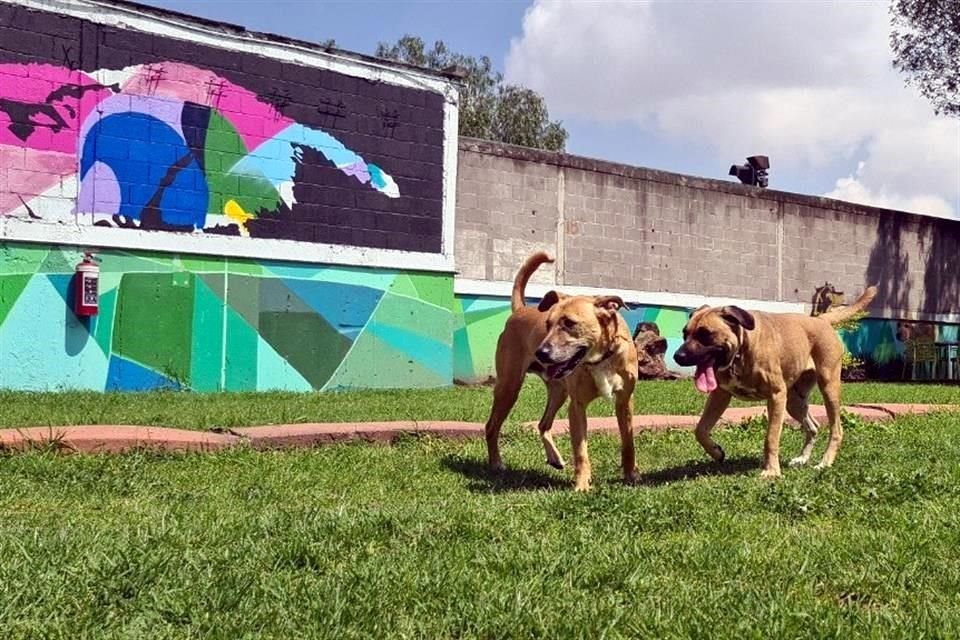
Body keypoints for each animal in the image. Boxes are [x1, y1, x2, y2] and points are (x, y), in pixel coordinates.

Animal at [488, 251, 636, 490]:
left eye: (569, 323)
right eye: (547, 324)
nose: (541, 352)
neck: (601, 358)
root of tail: (520, 309)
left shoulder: (625, 402)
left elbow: (628, 442)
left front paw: (632, 475)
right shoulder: (576, 407)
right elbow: (581, 451)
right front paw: (582, 485)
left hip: (558, 391)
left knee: (543, 424)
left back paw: (554, 458)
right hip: (509, 387)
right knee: (491, 426)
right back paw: (495, 463)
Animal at [676, 284, 876, 476]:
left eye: (705, 334)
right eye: (685, 333)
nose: (678, 356)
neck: (741, 350)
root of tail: (821, 319)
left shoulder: (776, 396)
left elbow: (771, 438)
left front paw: (771, 471)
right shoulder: (720, 395)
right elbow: (700, 429)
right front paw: (716, 452)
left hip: (828, 388)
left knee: (836, 430)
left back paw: (825, 462)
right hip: (794, 401)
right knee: (813, 426)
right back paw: (802, 458)